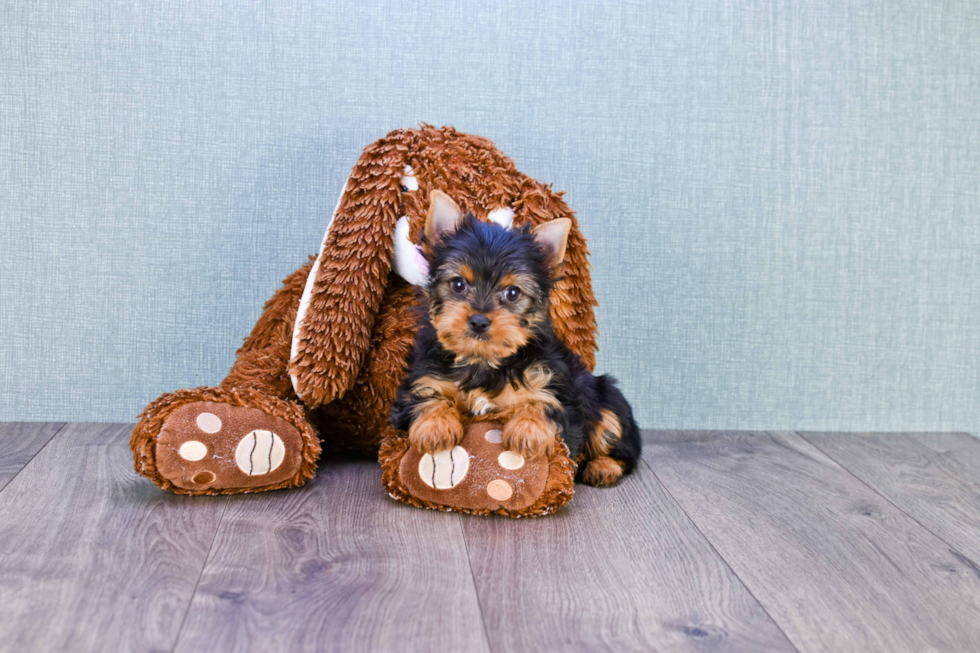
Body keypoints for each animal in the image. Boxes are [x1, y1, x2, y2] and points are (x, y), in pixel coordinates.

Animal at [390, 188, 644, 484]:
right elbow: (425, 396)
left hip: (606, 397)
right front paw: (435, 426)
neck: (483, 361)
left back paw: (604, 466)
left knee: (619, 442)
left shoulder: (556, 385)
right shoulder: (422, 378)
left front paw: (528, 431)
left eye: (512, 293)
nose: (479, 321)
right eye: (458, 284)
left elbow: (545, 403)